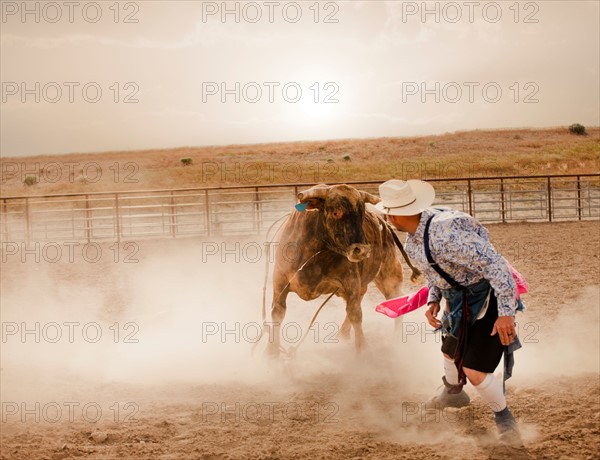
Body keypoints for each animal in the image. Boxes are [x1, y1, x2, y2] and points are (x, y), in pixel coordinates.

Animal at [270, 183, 420, 356]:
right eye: (336, 212)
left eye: (361, 214)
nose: (362, 250)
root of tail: (385, 225)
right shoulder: (279, 280)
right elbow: (277, 312)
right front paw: (271, 351)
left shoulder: (351, 281)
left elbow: (355, 314)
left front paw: (362, 349)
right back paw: (342, 333)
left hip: (389, 276)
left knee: (393, 301)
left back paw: (396, 341)